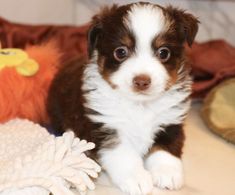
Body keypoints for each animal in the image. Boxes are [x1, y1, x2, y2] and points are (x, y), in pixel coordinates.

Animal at [47, 2, 198, 194]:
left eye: (164, 53)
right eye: (120, 52)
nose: (142, 81)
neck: (140, 105)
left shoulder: (170, 122)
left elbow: (165, 149)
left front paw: (167, 172)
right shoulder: (106, 127)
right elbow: (124, 155)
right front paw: (136, 178)